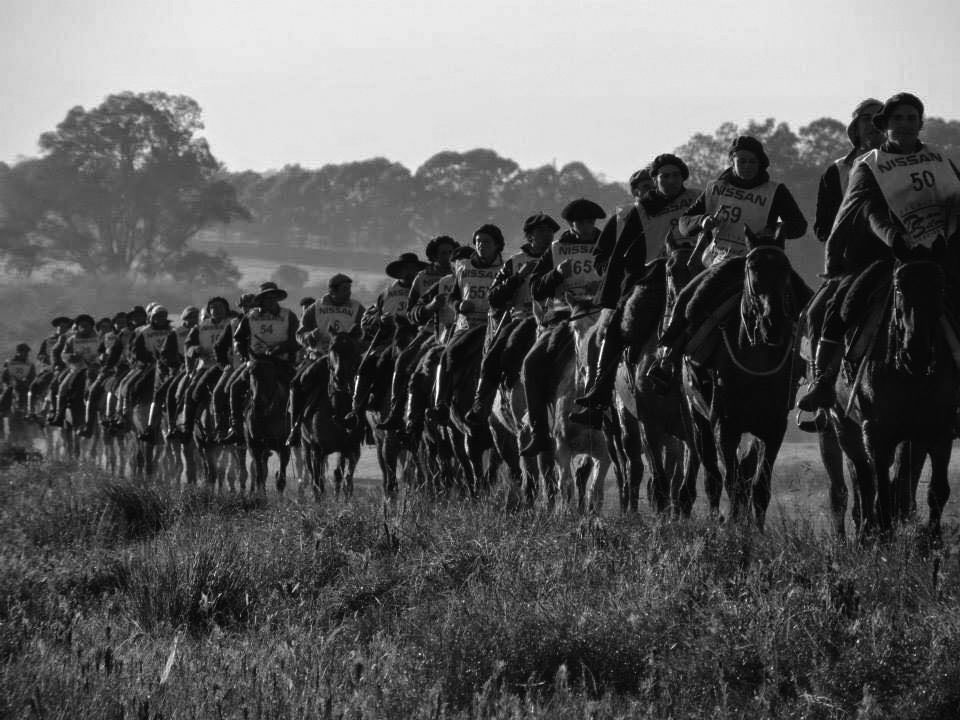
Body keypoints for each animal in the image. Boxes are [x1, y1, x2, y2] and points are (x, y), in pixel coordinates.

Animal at [300, 330, 364, 500]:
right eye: (332, 347)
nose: (339, 376)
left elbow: (342, 476)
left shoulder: (348, 447)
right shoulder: (317, 449)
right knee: (314, 473)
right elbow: (318, 481)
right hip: (306, 445)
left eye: (352, 348)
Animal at [688, 231, 812, 528]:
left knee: (744, 473)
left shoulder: (772, 427)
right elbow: (731, 482)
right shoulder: (724, 426)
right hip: (698, 420)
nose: (773, 324)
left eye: (785, 269)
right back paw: (716, 518)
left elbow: (758, 486)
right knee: (713, 476)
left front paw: (755, 529)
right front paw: (732, 527)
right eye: (752, 267)